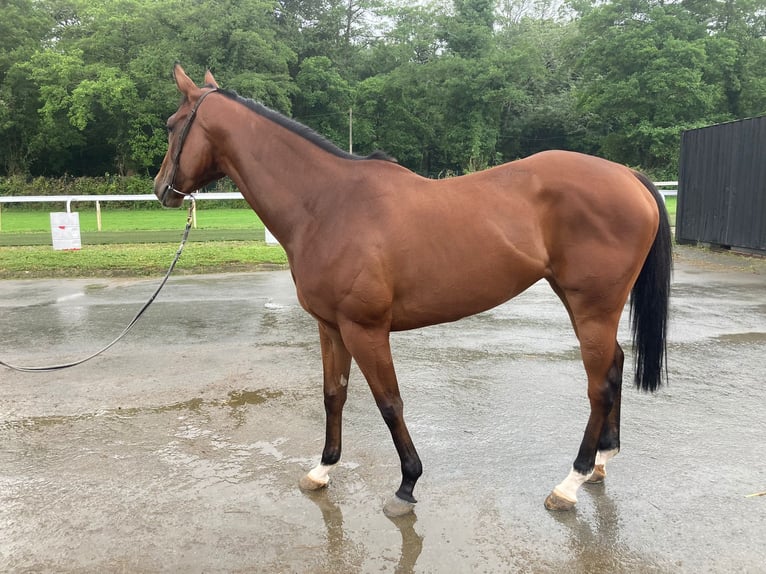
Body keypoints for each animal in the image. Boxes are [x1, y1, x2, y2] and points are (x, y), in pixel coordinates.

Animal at [153, 65, 668, 520]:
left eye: (172, 125)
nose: (161, 189)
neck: (326, 205)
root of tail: (629, 175)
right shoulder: (331, 328)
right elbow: (334, 394)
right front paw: (322, 469)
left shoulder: (365, 330)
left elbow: (389, 403)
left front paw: (406, 484)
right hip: (579, 302)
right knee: (615, 365)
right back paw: (601, 463)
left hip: (592, 306)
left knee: (599, 385)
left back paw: (570, 482)